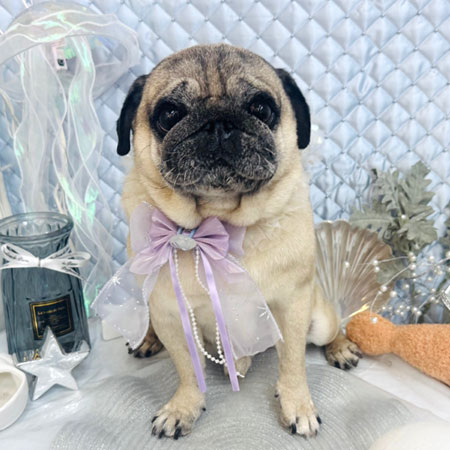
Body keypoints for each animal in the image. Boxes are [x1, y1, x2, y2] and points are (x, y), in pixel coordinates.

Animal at [116, 43, 360, 439]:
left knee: (331, 328)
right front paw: (184, 407)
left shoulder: (292, 306)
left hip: (319, 318)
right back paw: (148, 339)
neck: (221, 226)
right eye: (169, 113)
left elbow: (293, 365)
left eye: (261, 108)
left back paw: (340, 348)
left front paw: (297, 406)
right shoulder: (170, 314)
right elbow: (187, 370)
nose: (218, 122)